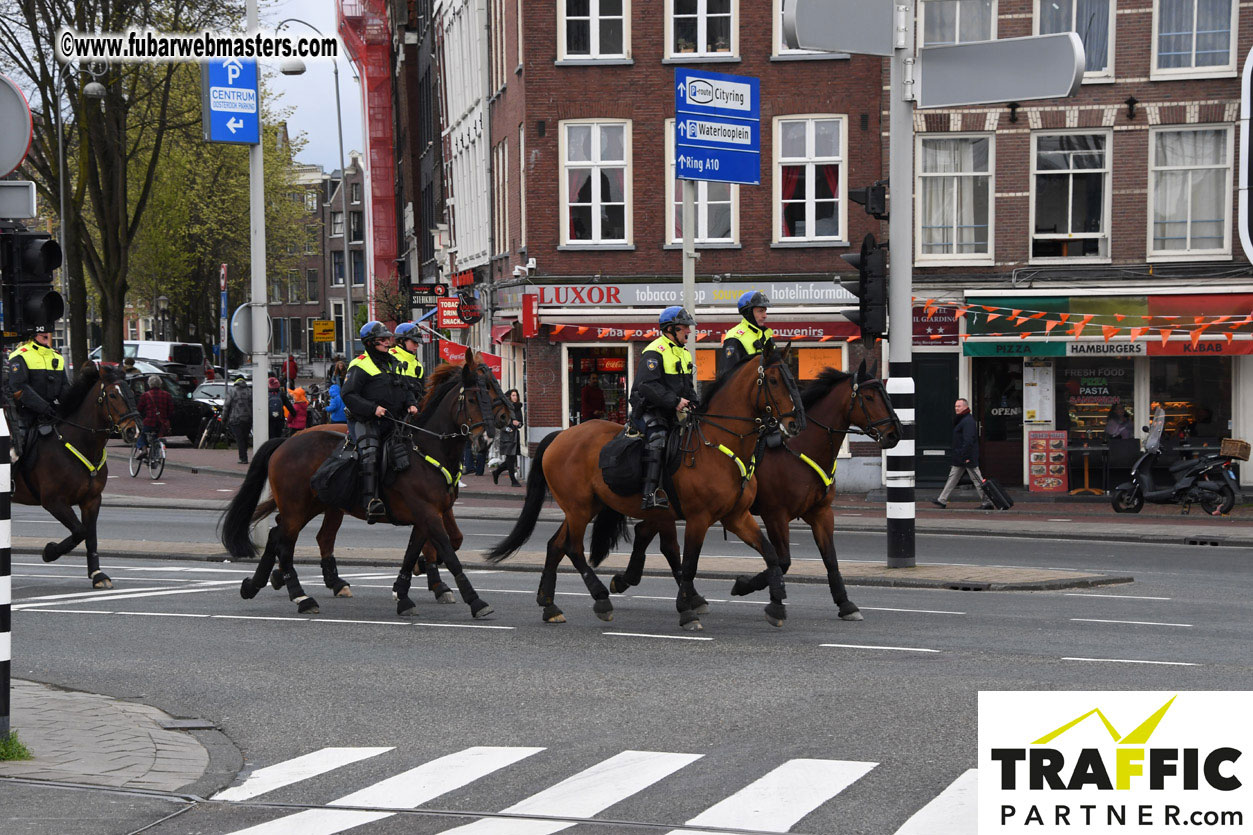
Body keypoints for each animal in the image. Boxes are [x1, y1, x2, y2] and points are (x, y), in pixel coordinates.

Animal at [10, 363, 142, 584]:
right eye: (113, 395)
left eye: (131, 392)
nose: (134, 430)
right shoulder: (54, 501)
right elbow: (80, 531)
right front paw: (49, 551)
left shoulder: (92, 500)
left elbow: (91, 536)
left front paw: (97, 574)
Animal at [218, 348, 511, 614]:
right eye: (473, 398)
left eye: (493, 391)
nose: (488, 436)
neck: (425, 449)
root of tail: (286, 441)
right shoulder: (428, 514)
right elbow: (450, 554)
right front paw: (475, 601)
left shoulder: (428, 515)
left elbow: (413, 554)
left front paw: (403, 595)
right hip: (296, 507)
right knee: (286, 543)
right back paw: (300, 596)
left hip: (313, 505)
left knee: (281, 536)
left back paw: (257, 585)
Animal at [483, 346, 806, 631]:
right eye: (774, 380)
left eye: (793, 377)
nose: (796, 423)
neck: (717, 445)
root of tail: (561, 435)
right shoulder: (698, 518)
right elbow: (689, 563)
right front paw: (687, 611)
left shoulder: (736, 516)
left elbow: (771, 554)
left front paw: (776, 604)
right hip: (579, 508)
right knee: (573, 548)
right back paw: (601, 599)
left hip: (585, 507)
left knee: (555, 545)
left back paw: (550, 606)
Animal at [596, 363, 902, 616]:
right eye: (870, 397)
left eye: (886, 393)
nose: (895, 433)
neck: (799, 447)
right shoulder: (775, 514)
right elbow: (783, 560)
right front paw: (745, 586)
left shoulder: (821, 513)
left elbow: (830, 559)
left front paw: (845, 603)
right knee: (662, 542)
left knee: (646, 534)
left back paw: (629, 581)